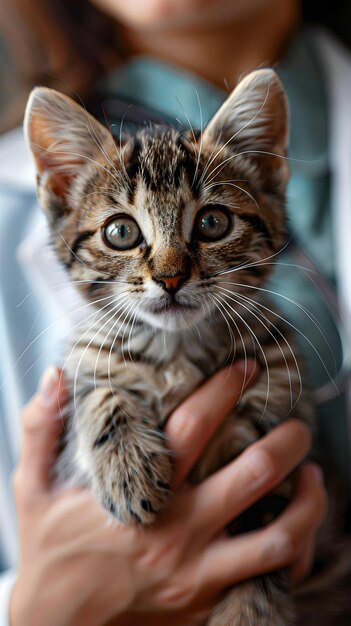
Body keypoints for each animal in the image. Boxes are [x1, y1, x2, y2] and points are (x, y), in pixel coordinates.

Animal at [26, 68, 314, 624]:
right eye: (120, 232)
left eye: (212, 223)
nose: (171, 278)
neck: (177, 349)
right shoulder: (82, 372)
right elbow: (98, 389)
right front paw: (127, 469)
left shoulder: (272, 417)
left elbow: (265, 539)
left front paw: (249, 611)